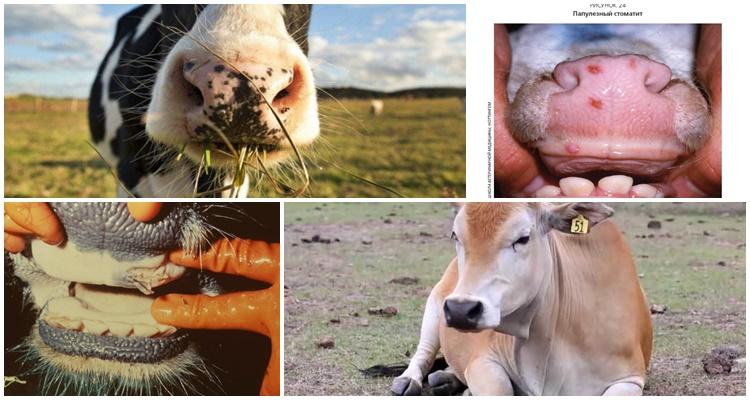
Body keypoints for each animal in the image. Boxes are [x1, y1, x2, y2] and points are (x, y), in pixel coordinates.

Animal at [392, 202, 653, 396]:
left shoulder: (630, 378)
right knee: (424, 352)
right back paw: (410, 380)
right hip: (436, 304)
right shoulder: (483, 360)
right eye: (456, 235)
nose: (460, 310)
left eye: (523, 238)